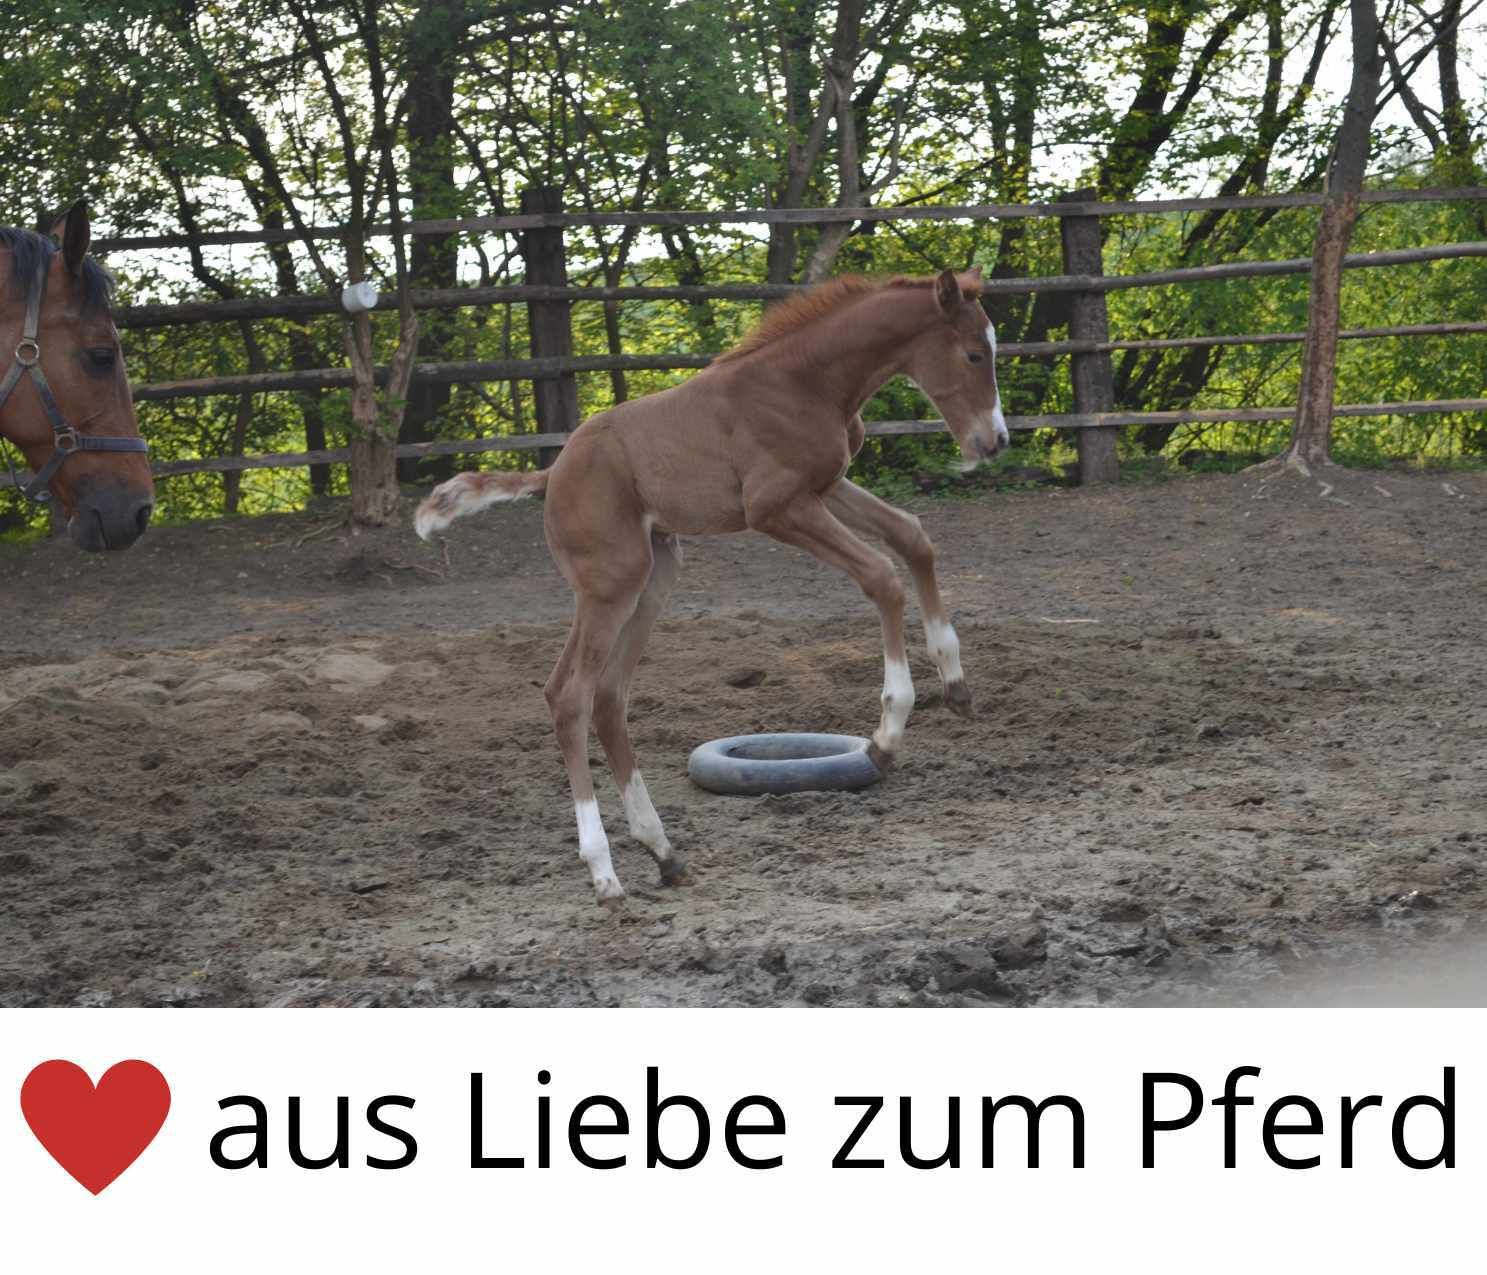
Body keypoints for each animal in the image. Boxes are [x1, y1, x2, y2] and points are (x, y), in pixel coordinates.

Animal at [415, 267, 1007, 904]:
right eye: (974, 354)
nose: (995, 441)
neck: (806, 382)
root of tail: (554, 472)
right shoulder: (776, 507)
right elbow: (881, 576)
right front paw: (887, 734)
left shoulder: (826, 487)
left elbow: (913, 537)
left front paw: (956, 683)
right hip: (611, 584)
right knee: (569, 696)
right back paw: (604, 871)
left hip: (655, 574)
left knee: (608, 697)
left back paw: (663, 851)